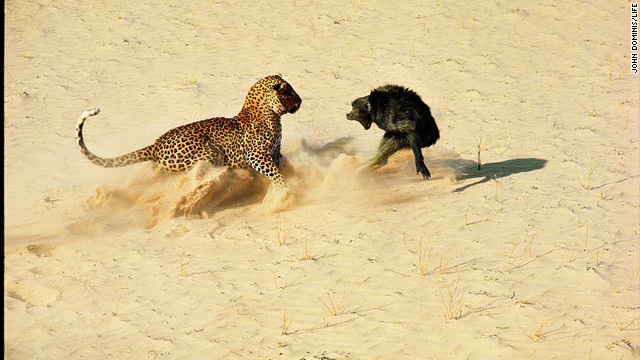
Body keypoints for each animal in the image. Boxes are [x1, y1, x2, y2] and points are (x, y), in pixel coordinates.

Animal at [75, 75, 302, 190]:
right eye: (289, 92)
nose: (300, 101)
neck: (270, 113)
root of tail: (155, 144)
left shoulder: (275, 152)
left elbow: (281, 166)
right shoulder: (256, 155)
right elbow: (275, 173)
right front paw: (286, 188)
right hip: (208, 152)